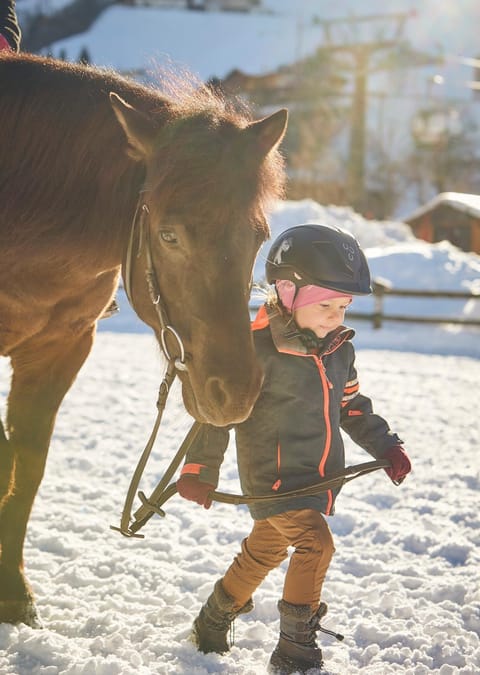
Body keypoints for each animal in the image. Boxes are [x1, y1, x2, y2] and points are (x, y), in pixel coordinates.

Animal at [0, 52, 286, 628]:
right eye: (169, 235)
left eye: (259, 236)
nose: (236, 392)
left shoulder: (61, 350)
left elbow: (25, 467)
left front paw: (12, 590)